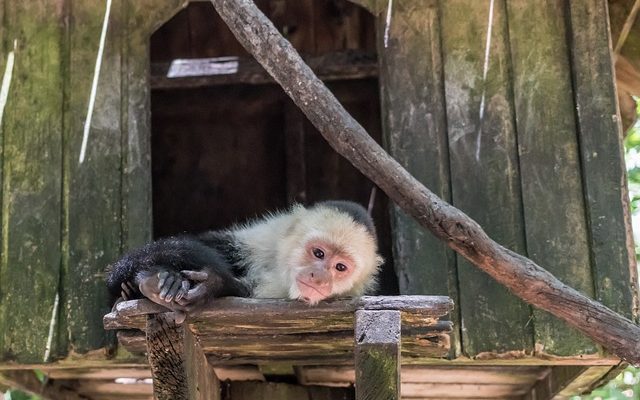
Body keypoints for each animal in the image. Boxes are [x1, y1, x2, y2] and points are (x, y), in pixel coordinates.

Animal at [107, 199, 382, 316]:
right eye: (318, 253)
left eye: (340, 267)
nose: (319, 277)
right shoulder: (267, 238)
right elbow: (204, 244)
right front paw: (157, 272)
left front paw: (215, 284)